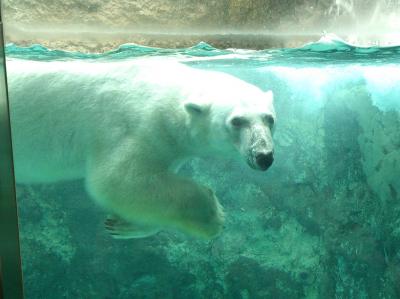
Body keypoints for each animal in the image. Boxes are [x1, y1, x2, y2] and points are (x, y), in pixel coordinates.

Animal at [7, 58, 276, 240]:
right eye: (237, 121)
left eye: (269, 119)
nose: (264, 156)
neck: (168, 93)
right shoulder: (136, 123)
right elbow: (118, 180)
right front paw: (214, 216)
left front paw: (122, 225)